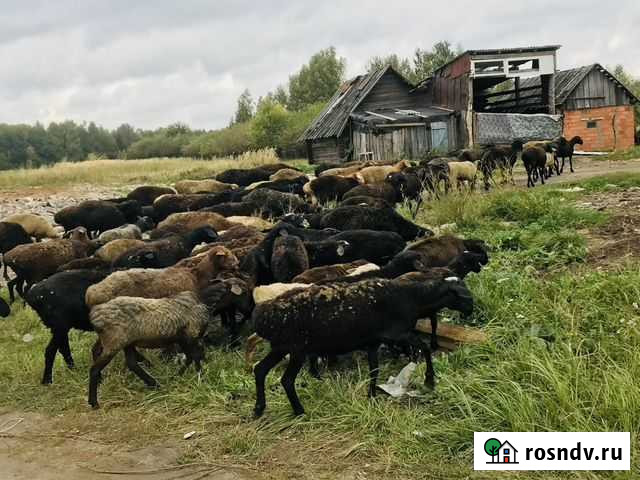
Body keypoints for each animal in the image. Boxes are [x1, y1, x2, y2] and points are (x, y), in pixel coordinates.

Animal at [251, 275, 474, 416]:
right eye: (462, 295)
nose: (471, 310)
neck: (414, 298)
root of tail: (262, 317)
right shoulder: (398, 334)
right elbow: (425, 347)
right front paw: (429, 380)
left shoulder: (373, 342)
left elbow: (374, 370)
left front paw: (371, 395)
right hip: (297, 349)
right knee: (287, 380)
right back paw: (299, 411)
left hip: (280, 347)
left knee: (259, 370)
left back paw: (259, 408)